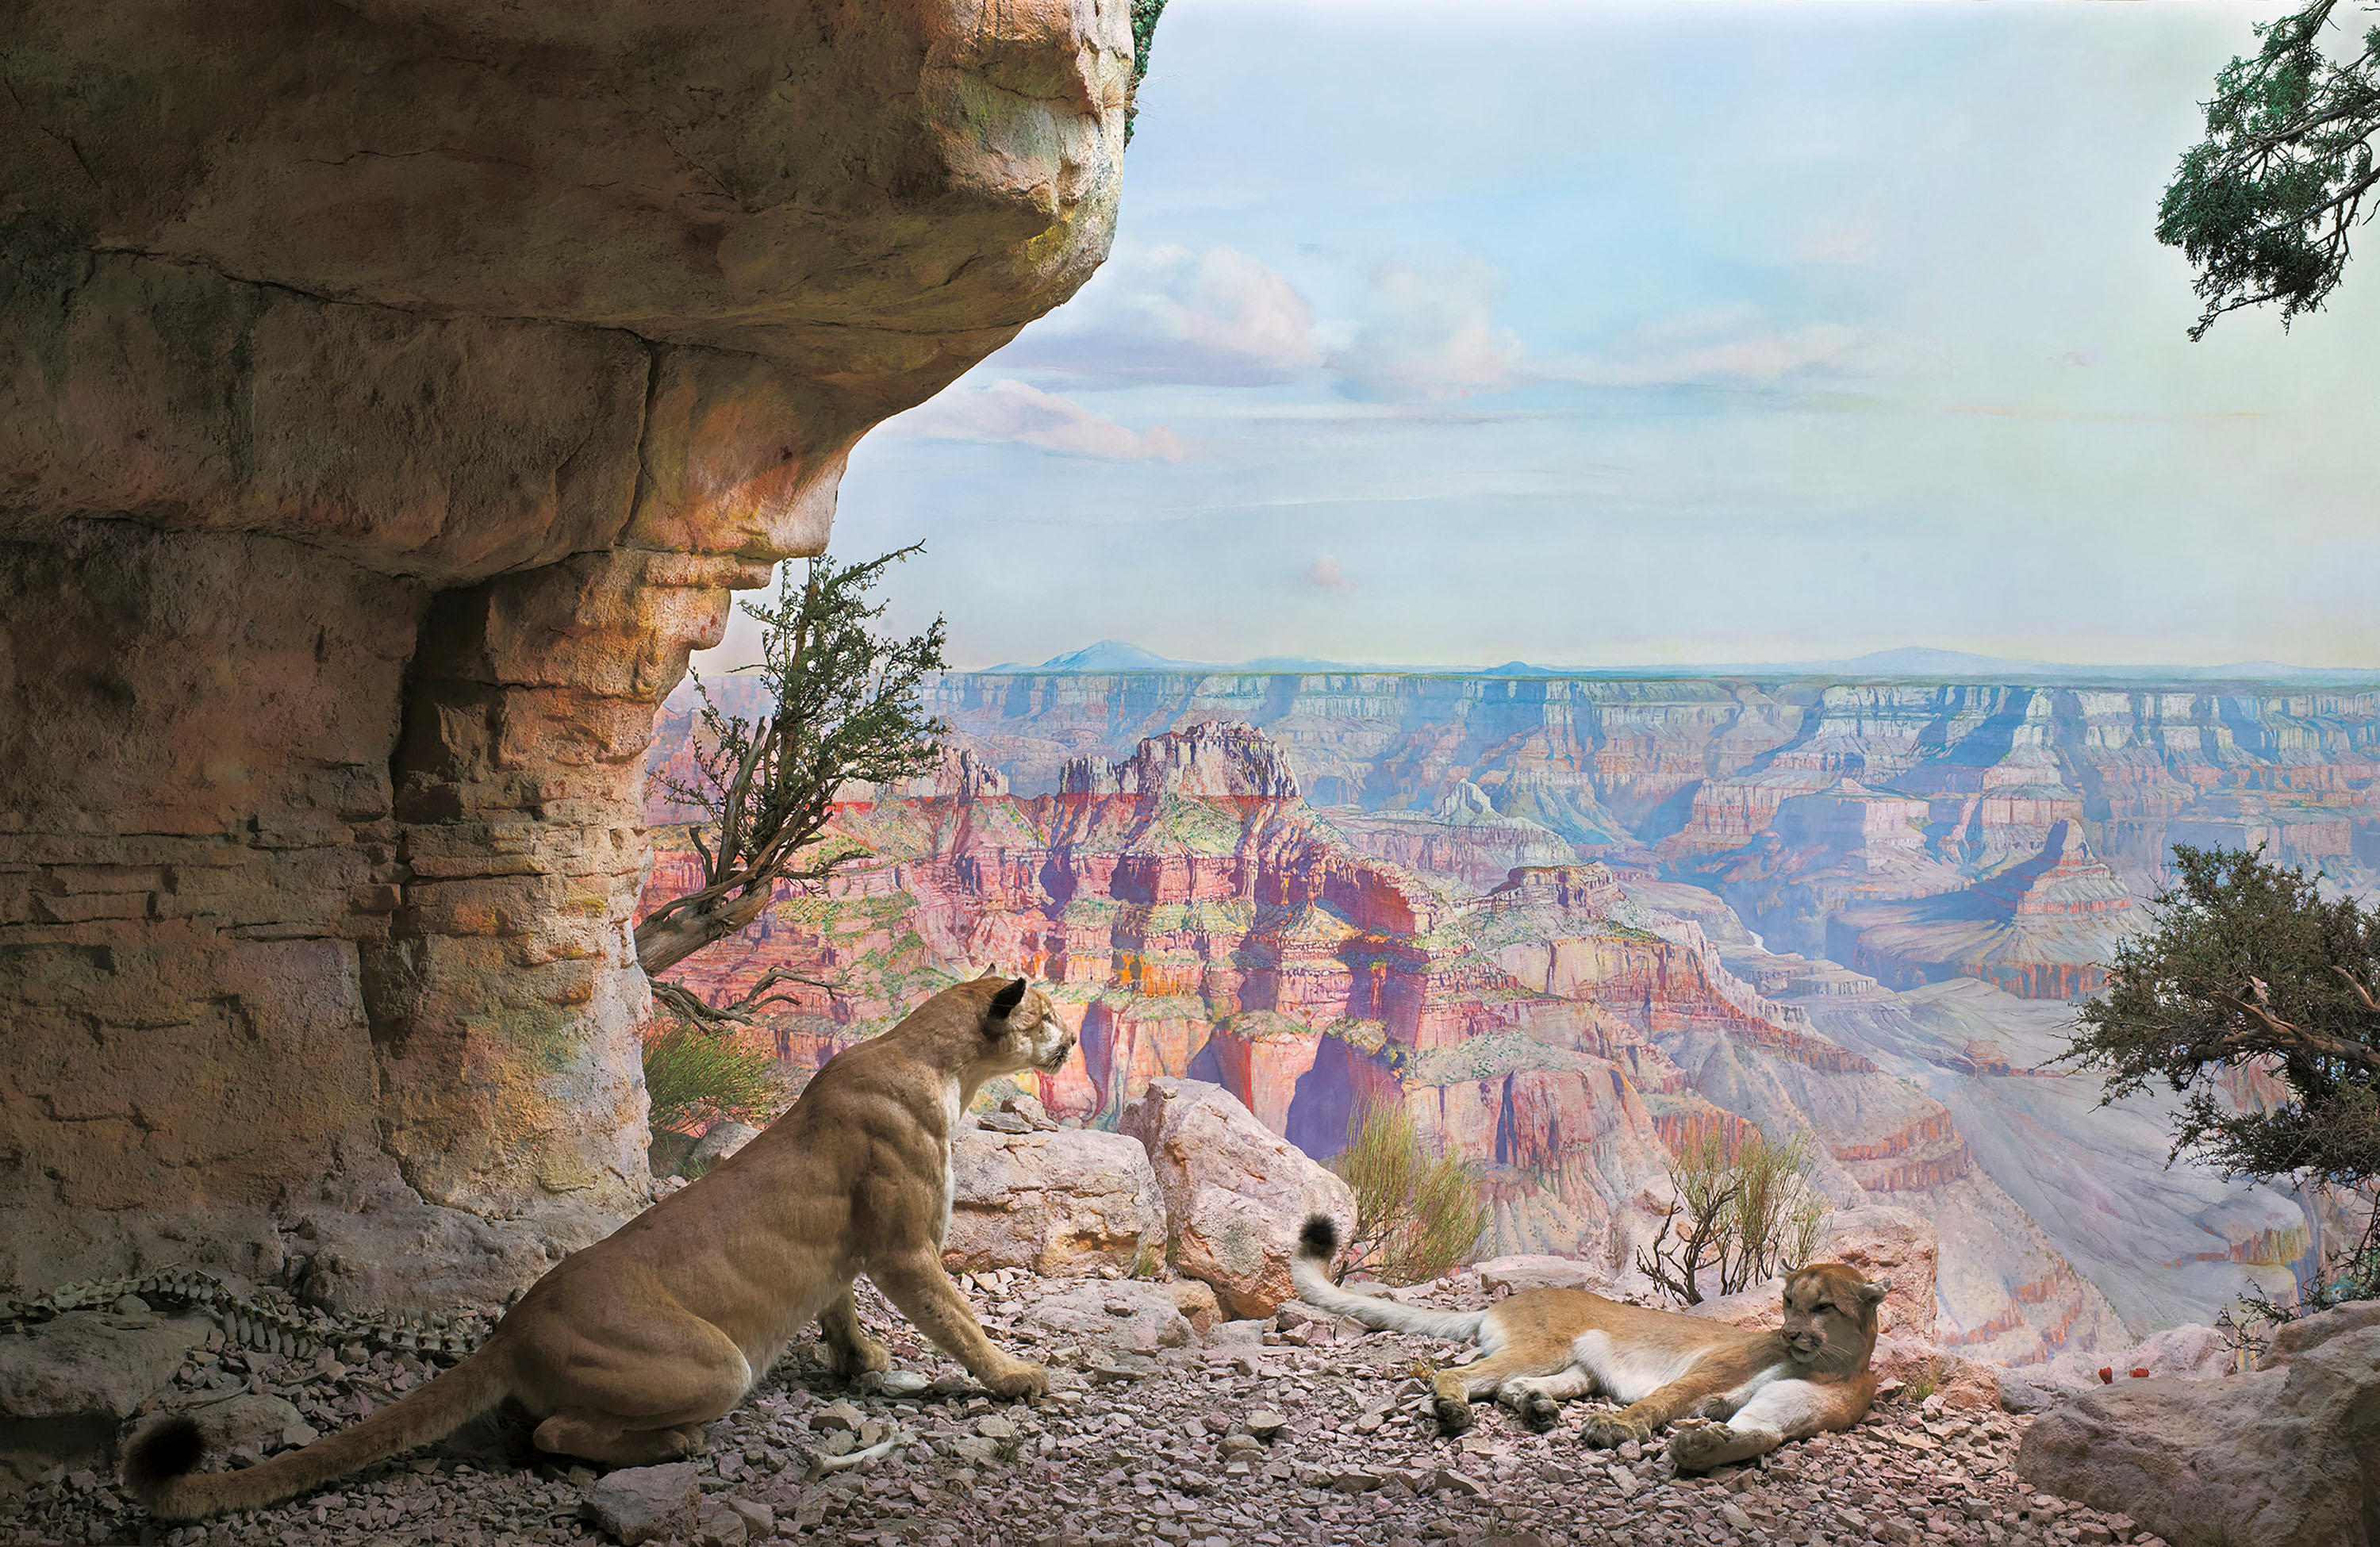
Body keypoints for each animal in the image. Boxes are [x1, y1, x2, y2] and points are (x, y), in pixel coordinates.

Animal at [121, 971, 1071, 1514]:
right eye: (1052, 1013)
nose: (1064, 1038)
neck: (942, 1065)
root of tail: (512, 1329)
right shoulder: (907, 1248)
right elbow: (956, 1320)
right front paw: (1016, 1377)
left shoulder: (854, 1250)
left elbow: (838, 1304)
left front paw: (861, 1362)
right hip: (714, 1363)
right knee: (551, 1433)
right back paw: (673, 1447)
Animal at [1295, 1209, 1885, 1466]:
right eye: (1788, 1301)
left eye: (1823, 1306)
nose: (1790, 1332)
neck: (1825, 1364)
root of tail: (1504, 1299)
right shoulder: (1708, 1372)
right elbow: (1662, 1401)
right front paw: (1617, 1429)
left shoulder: (1783, 1412)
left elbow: (1756, 1434)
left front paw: (1703, 1447)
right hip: (1544, 1347)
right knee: (1457, 1372)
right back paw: (1456, 1410)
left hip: (1575, 1366)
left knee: (1509, 1387)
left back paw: (1537, 1408)